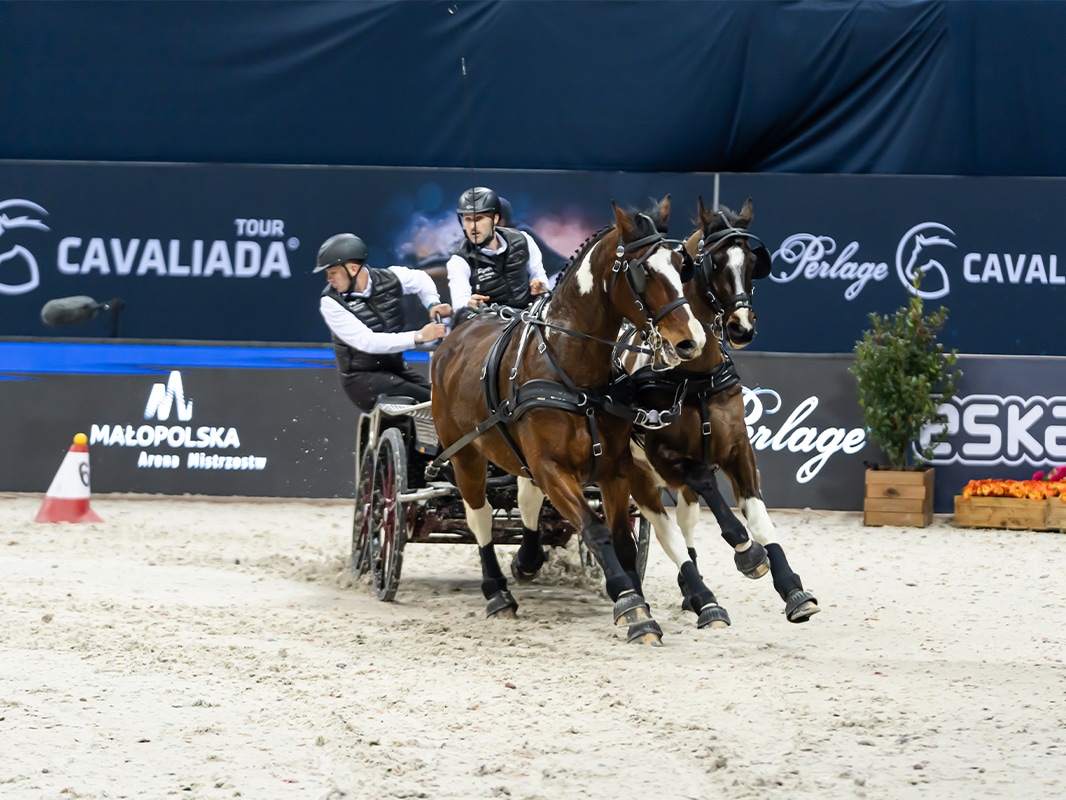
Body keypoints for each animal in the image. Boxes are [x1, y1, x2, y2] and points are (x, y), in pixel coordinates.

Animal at [430, 197, 707, 644]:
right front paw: (632, 607)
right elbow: (594, 531)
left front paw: (635, 603)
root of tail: (457, 335)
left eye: (683, 267)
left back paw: (527, 561)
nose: (691, 341)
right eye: (642, 272)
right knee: (479, 516)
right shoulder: (551, 467)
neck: (572, 371)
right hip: (465, 454)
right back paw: (497, 593)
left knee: (524, 499)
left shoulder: (614, 468)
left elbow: (622, 541)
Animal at [621, 197, 820, 624]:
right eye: (714, 262)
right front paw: (747, 553)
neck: (693, 378)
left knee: (683, 525)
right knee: (665, 530)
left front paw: (792, 588)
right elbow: (709, 487)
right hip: (635, 473)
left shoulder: (738, 449)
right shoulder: (664, 456)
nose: (741, 327)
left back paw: (691, 590)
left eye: (752, 260)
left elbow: (759, 516)